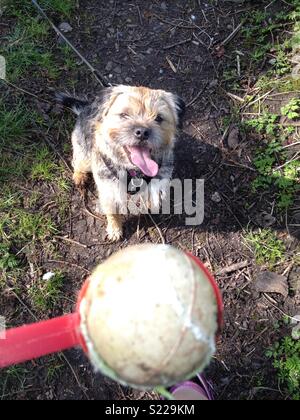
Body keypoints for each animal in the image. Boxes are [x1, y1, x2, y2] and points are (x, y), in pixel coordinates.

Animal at [57, 85, 185, 241]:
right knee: (77, 162)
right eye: (124, 115)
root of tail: (85, 109)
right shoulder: (108, 190)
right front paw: (115, 230)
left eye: (159, 118)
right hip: (84, 154)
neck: (134, 172)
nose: (142, 132)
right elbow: (112, 212)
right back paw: (79, 176)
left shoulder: (158, 183)